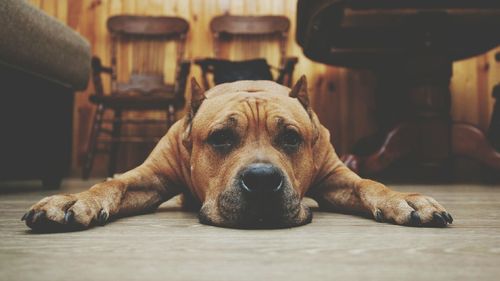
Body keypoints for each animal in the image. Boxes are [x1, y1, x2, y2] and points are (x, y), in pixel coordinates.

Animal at [22, 76, 454, 230]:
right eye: (220, 138)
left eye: (291, 138)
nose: (262, 181)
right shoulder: (149, 178)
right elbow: (111, 185)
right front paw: (74, 199)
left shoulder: (338, 177)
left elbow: (369, 184)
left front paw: (405, 199)